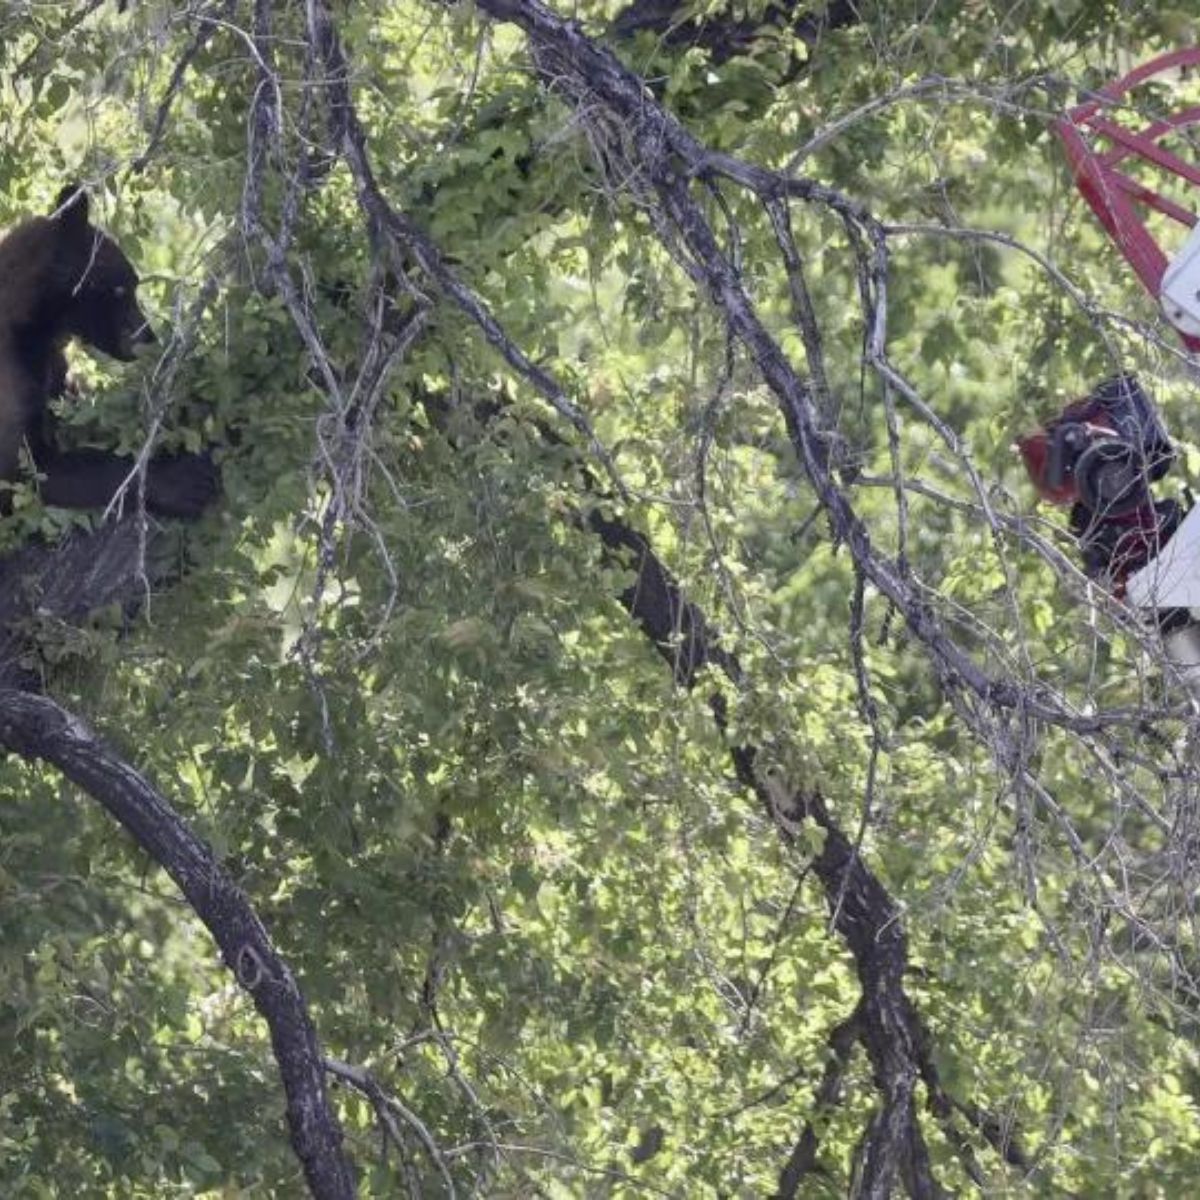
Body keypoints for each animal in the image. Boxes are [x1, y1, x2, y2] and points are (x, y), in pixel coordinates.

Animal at [0, 183, 213, 516]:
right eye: (120, 289)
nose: (147, 338)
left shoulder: (54, 367)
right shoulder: (13, 374)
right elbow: (30, 471)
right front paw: (181, 480)